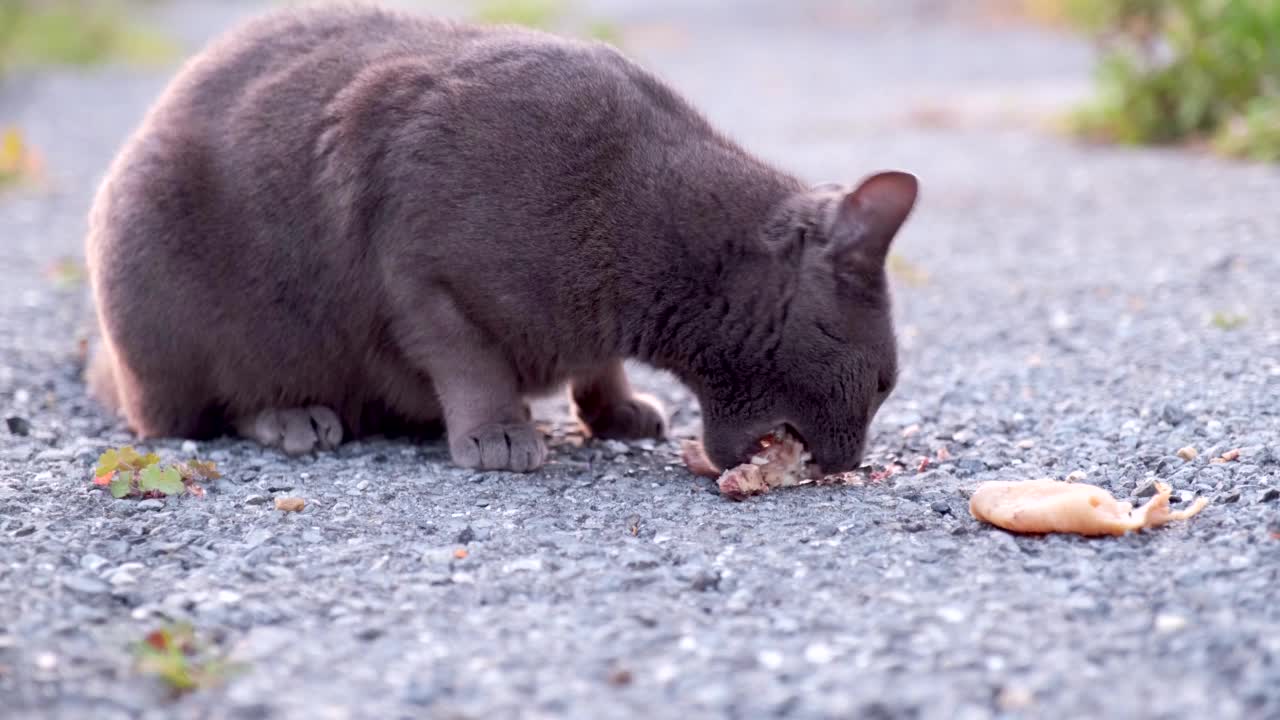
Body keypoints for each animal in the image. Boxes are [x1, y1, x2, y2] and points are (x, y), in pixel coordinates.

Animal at [82, 2, 921, 474]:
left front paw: (618, 411)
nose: (851, 461)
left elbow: (600, 367)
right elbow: (471, 362)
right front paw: (500, 434)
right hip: (165, 290)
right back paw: (293, 418)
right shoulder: (420, 274)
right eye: (884, 383)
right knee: (190, 413)